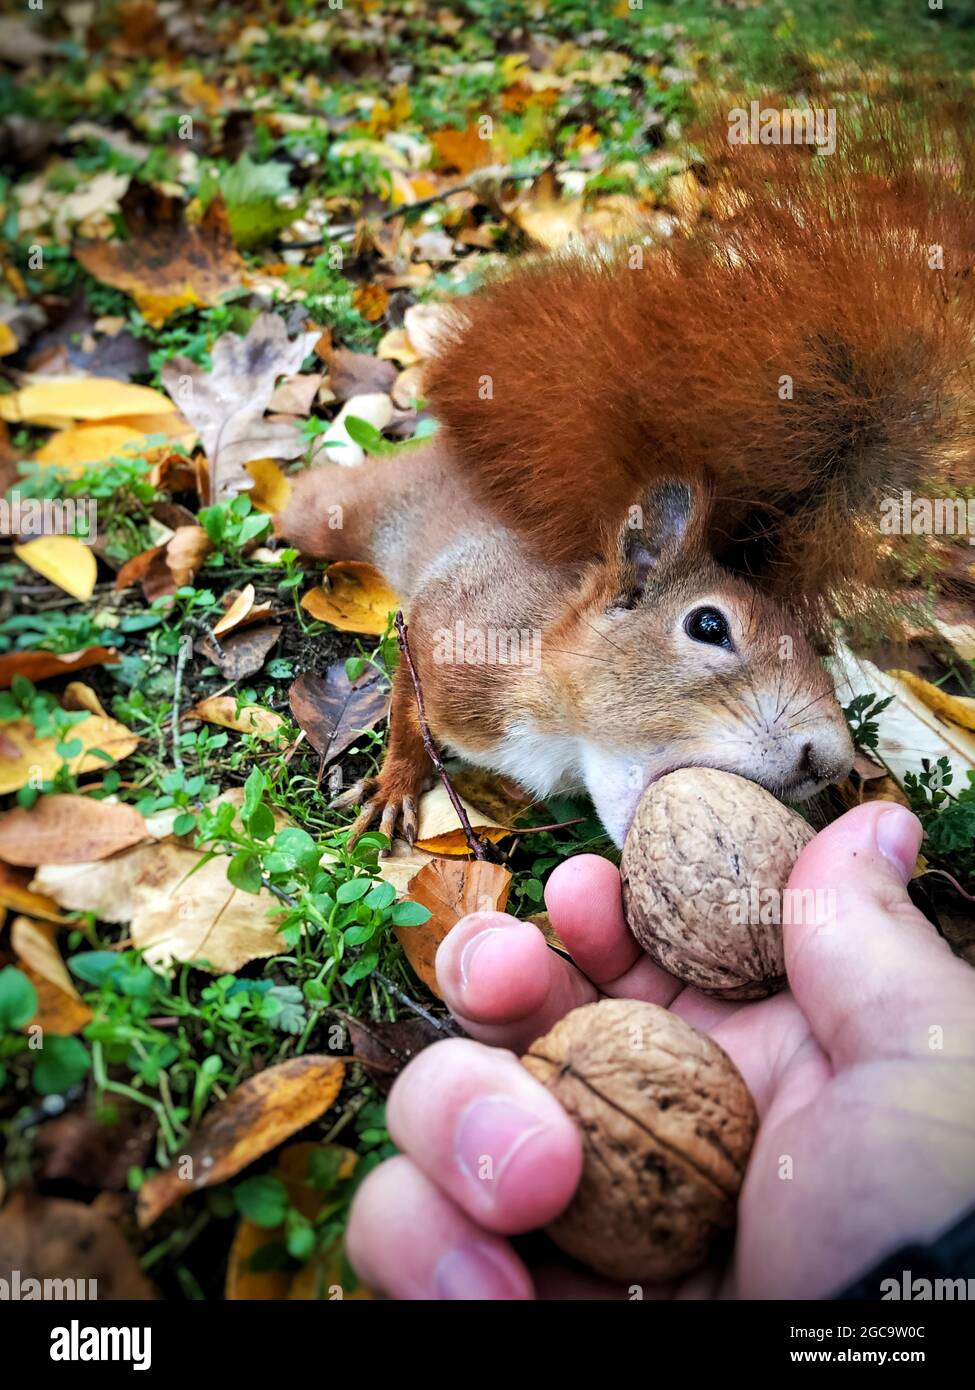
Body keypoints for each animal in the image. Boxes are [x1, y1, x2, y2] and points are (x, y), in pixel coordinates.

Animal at [275, 108, 973, 845]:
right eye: (707, 626)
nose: (830, 760)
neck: (562, 731)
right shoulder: (451, 643)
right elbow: (409, 704)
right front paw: (397, 781)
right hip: (350, 513)